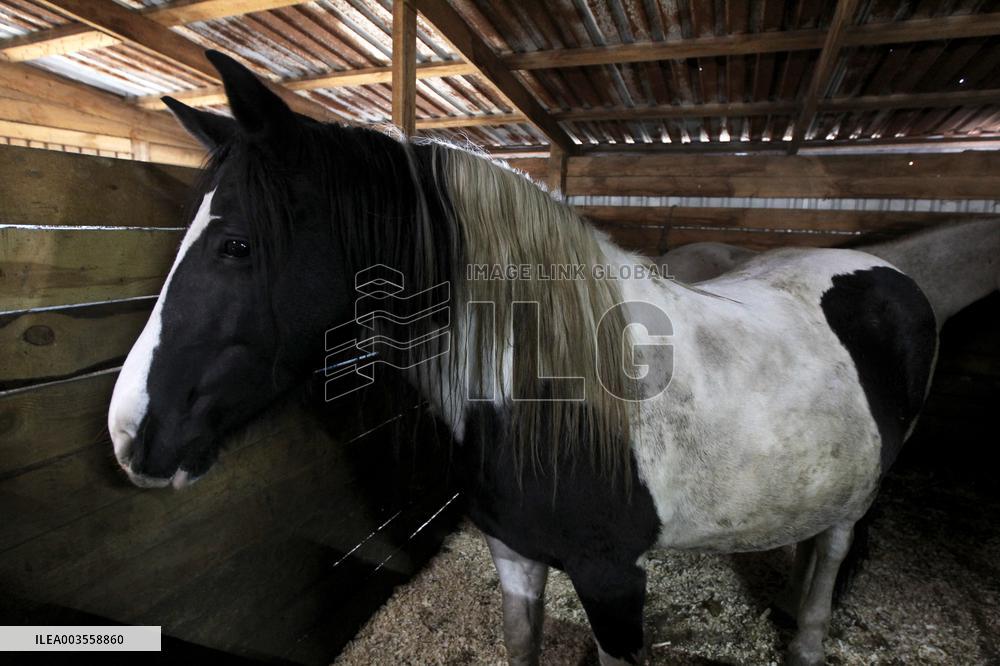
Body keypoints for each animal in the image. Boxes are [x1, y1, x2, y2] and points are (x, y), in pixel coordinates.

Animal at [109, 51, 944, 666]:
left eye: (235, 245)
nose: (129, 434)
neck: (550, 394)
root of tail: (888, 272)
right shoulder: (514, 556)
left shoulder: (614, 583)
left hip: (858, 501)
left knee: (830, 558)